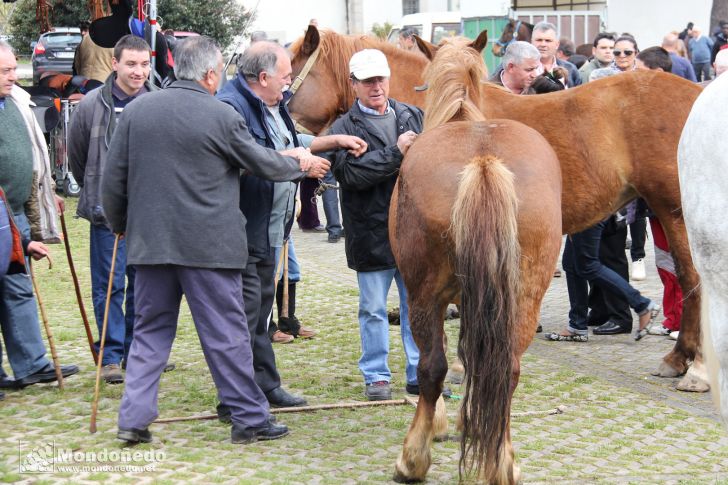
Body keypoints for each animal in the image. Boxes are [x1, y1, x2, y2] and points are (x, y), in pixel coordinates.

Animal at [392, 38, 564, 484]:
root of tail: (484, 161)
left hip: (424, 296)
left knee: (431, 367)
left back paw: (412, 458)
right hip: (523, 296)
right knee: (507, 370)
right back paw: (501, 462)